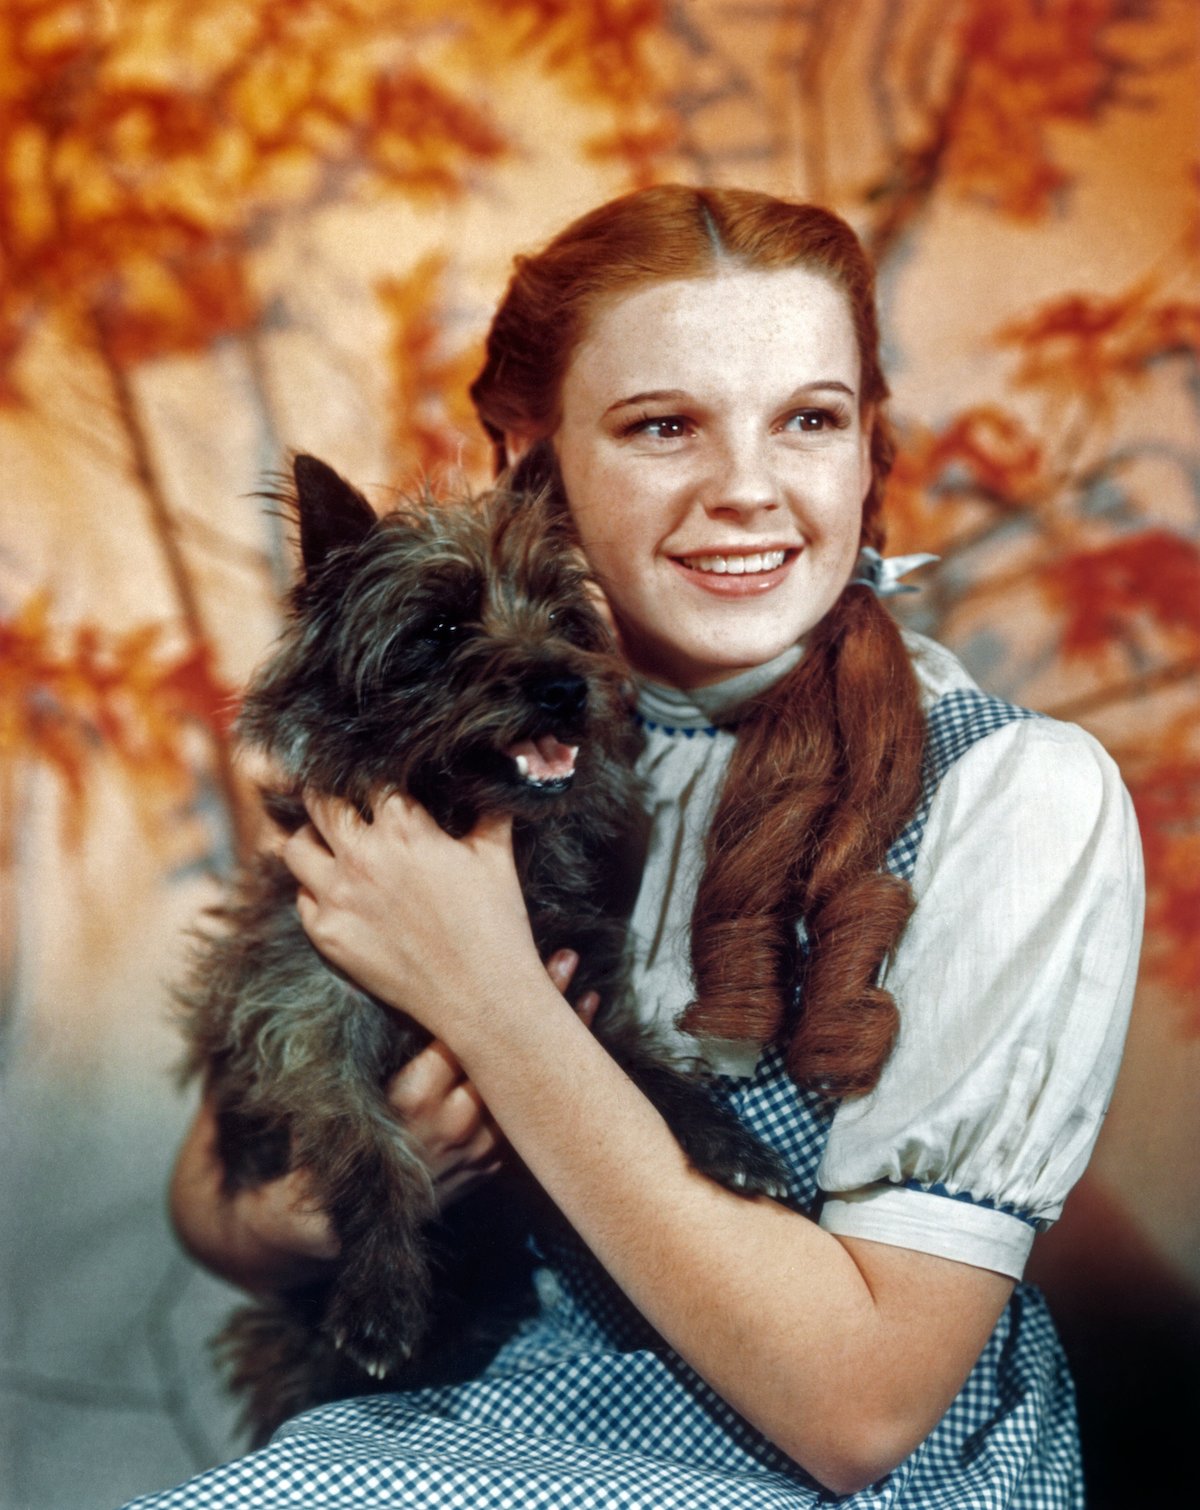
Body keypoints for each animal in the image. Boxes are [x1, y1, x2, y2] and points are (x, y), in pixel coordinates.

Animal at [180, 456, 790, 1437]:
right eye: (440, 628)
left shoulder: (573, 1000)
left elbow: (638, 1074)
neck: (484, 838)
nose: (566, 688)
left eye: (563, 615)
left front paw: (726, 1141)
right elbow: (373, 1150)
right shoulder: (307, 1035)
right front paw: (382, 1301)